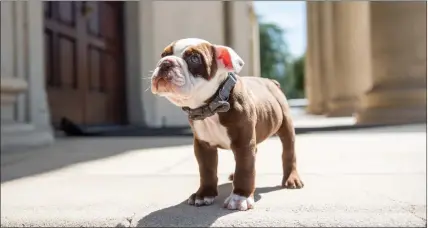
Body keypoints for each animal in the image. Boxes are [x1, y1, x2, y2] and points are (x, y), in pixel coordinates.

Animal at [152, 37, 302, 210]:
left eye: (194, 58)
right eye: (163, 55)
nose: (165, 63)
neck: (212, 105)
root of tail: (271, 82)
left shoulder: (243, 143)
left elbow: (245, 169)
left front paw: (240, 197)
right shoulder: (203, 146)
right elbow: (206, 170)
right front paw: (204, 194)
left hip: (285, 125)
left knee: (288, 152)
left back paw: (292, 178)